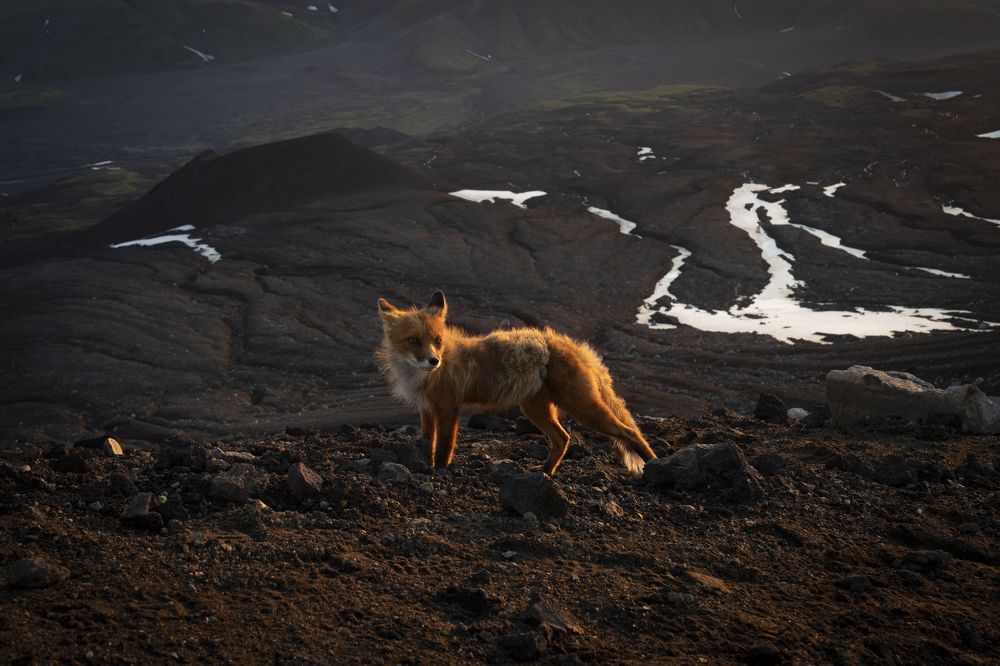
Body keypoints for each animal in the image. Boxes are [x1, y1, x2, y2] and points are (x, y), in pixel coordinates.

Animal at [376, 290, 657, 476]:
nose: (433, 361)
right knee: (563, 438)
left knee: (629, 432)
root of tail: (569, 343)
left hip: (582, 408)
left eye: (437, 340)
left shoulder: (448, 408)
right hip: (536, 409)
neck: (421, 376)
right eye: (413, 340)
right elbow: (427, 442)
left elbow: (444, 448)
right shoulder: (426, 409)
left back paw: (655, 464)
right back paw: (544, 471)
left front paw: (440, 472)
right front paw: (425, 465)